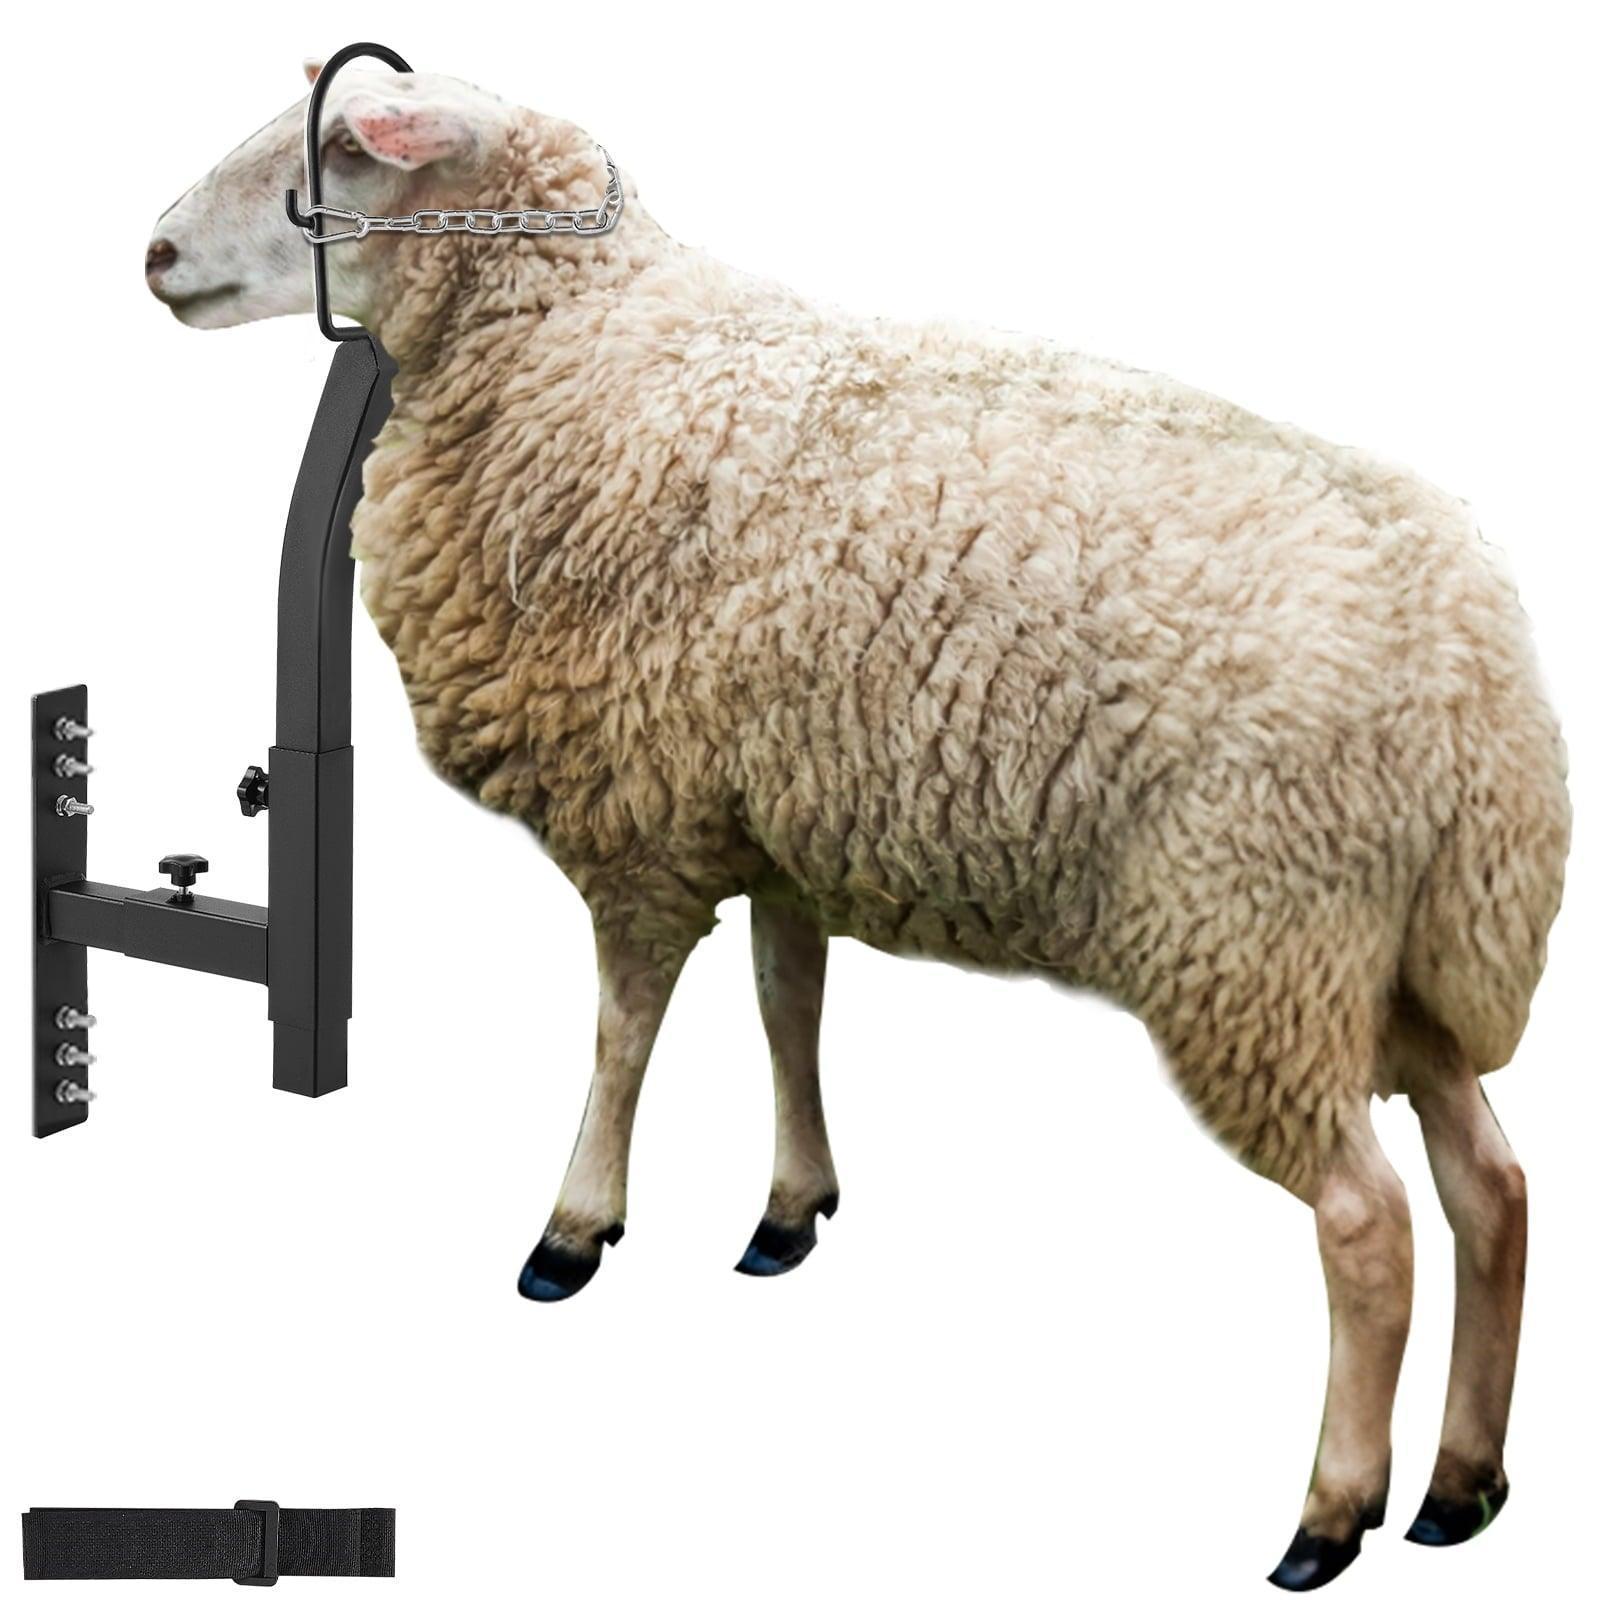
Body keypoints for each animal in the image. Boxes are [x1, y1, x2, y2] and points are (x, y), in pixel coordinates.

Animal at [145, 59, 1571, 1591]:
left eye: (346, 155)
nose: (155, 255)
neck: (579, 352)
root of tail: (1475, 670)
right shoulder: (777, 815)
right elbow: (790, 1006)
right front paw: (791, 1207)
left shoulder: (637, 818)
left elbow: (621, 1035)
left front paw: (574, 1228)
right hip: (1395, 959)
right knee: (1493, 1186)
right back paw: (1464, 1486)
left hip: (1255, 941)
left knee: (1369, 1226)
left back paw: (1332, 1510)